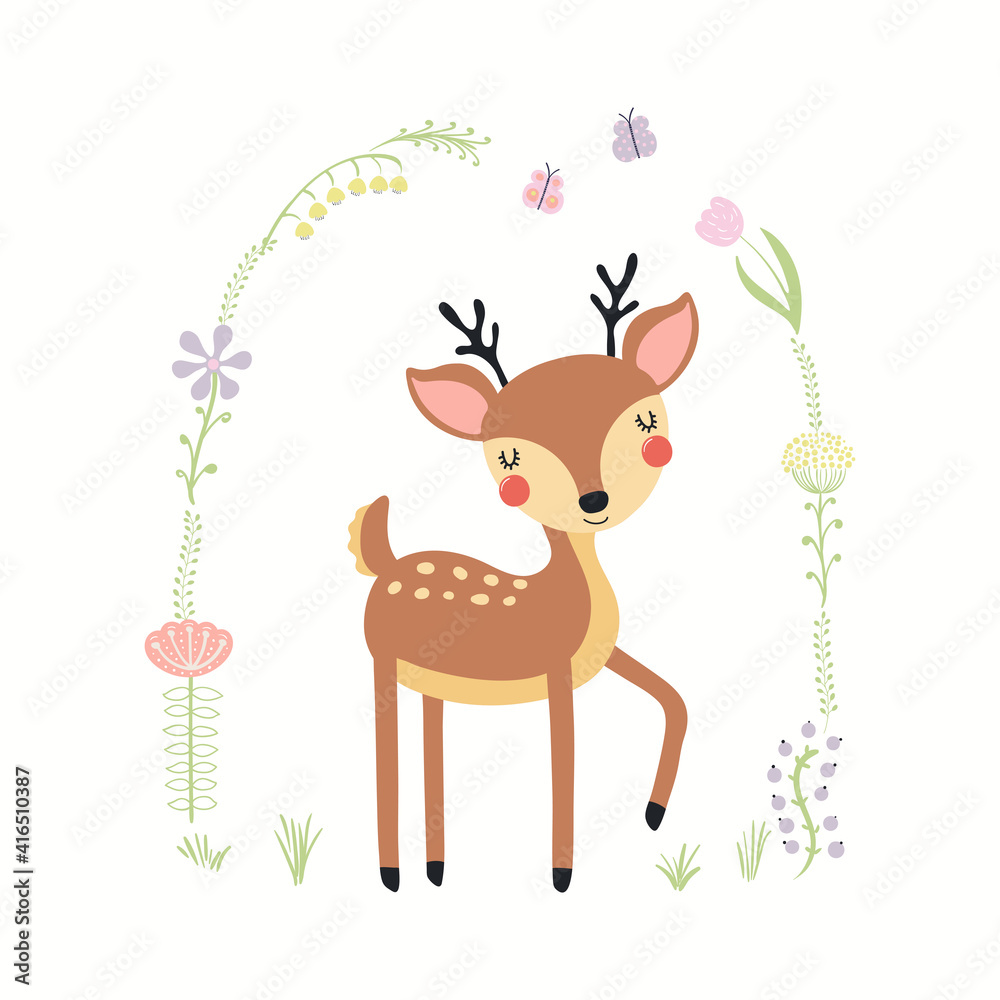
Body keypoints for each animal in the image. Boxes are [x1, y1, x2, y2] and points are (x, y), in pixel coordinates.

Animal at [348, 253, 698, 892]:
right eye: (511, 466)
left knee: (429, 740)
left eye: (647, 427)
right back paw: (391, 874)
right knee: (387, 753)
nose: (594, 500)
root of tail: (385, 562)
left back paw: (437, 869)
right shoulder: (557, 671)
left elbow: (673, 699)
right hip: (383, 663)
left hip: (430, 680)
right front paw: (561, 875)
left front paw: (654, 813)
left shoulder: (601, 656)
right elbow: (568, 757)